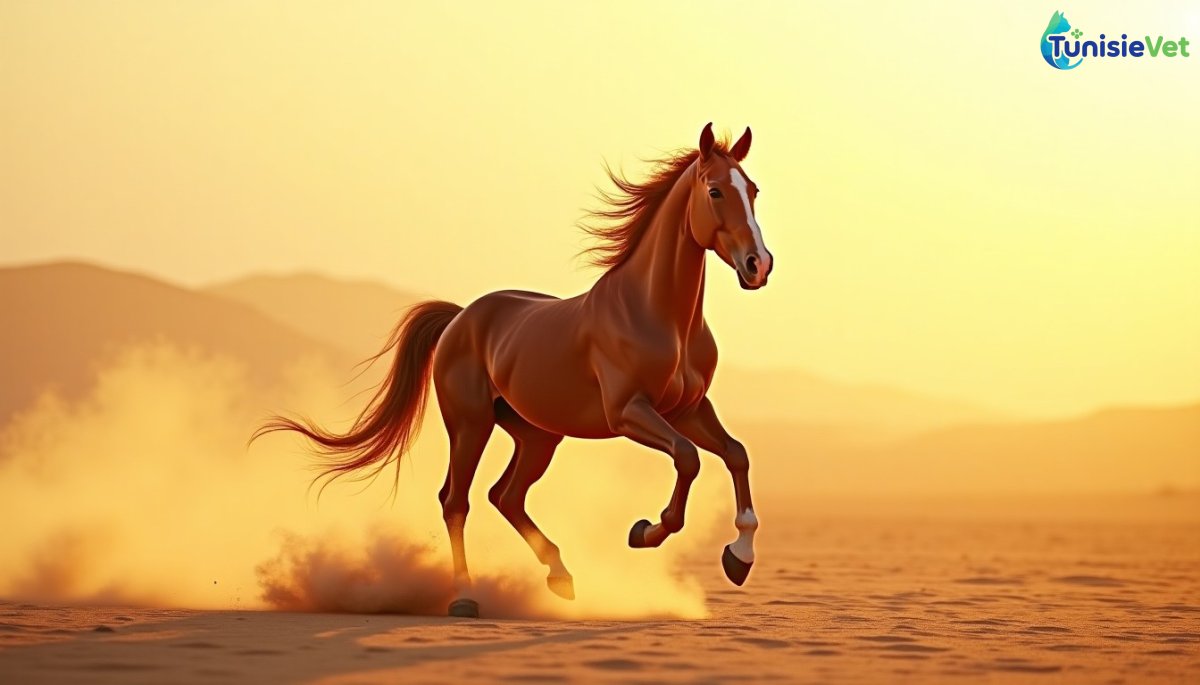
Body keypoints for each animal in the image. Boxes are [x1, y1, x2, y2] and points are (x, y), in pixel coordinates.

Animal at [257, 123, 774, 618]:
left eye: (752, 188)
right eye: (715, 191)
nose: (758, 265)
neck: (656, 314)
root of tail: (461, 317)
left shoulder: (689, 409)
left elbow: (736, 454)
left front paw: (739, 559)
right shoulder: (629, 412)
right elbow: (688, 458)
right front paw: (646, 530)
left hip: (537, 436)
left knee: (505, 496)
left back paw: (560, 576)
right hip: (471, 424)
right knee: (456, 501)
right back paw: (465, 598)